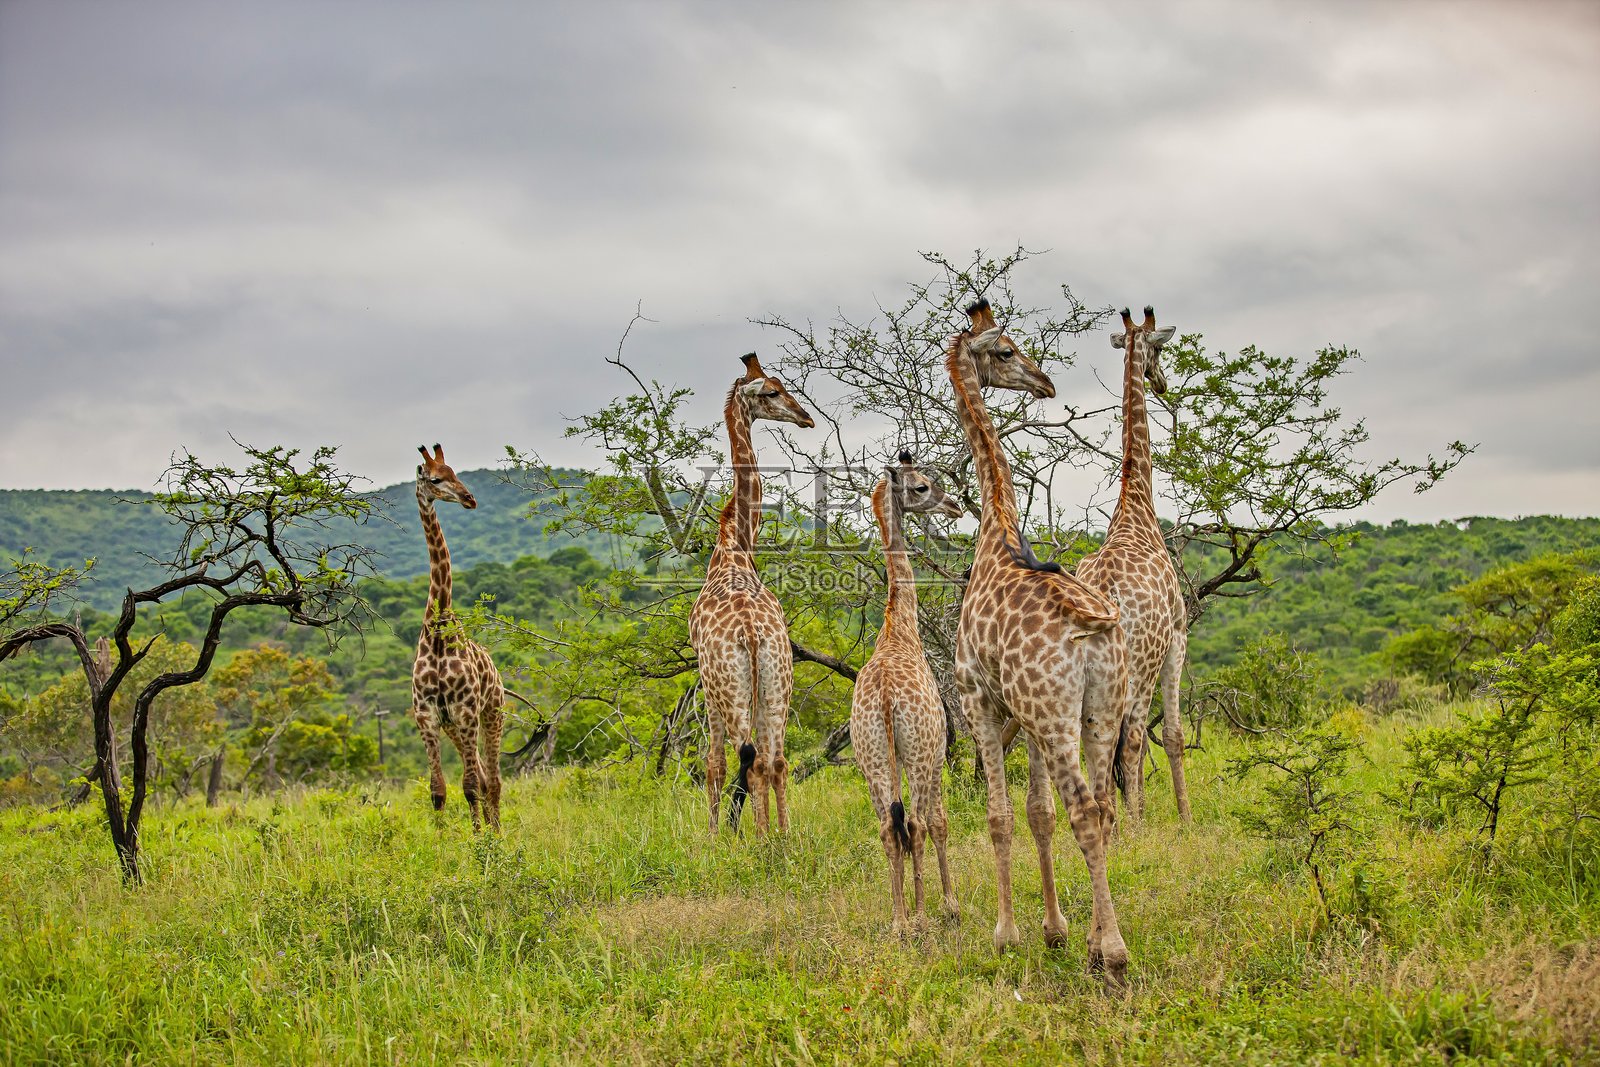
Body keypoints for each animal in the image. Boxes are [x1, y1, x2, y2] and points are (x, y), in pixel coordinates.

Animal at [411, 444, 508, 832]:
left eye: (456, 472)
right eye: (436, 479)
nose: (470, 498)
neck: (437, 630)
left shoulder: (466, 712)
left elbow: (469, 787)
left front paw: (480, 840)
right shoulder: (428, 716)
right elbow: (438, 790)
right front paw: (438, 841)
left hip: (492, 713)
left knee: (492, 780)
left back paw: (497, 832)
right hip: (455, 726)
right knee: (483, 776)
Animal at [688, 353, 814, 836]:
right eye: (772, 392)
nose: (806, 417)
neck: (735, 545)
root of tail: (752, 635)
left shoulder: (706, 684)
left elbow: (714, 764)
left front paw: (712, 836)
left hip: (732, 687)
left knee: (751, 759)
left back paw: (758, 840)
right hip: (779, 680)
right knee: (776, 761)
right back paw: (783, 836)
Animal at [947, 298, 1134, 988]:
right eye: (1006, 351)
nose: (1046, 383)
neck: (996, 528)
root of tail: (1090, 629)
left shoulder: (979, 700)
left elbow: (1000, 816)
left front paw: (1007, 935)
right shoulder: (1024, 717)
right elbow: (1037, 814)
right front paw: (1055, 931)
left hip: (1058, 716)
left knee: (1086, 808)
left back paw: (1115, 954)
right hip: (1100, 707)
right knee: (1100, 807)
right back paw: (1095, 941)